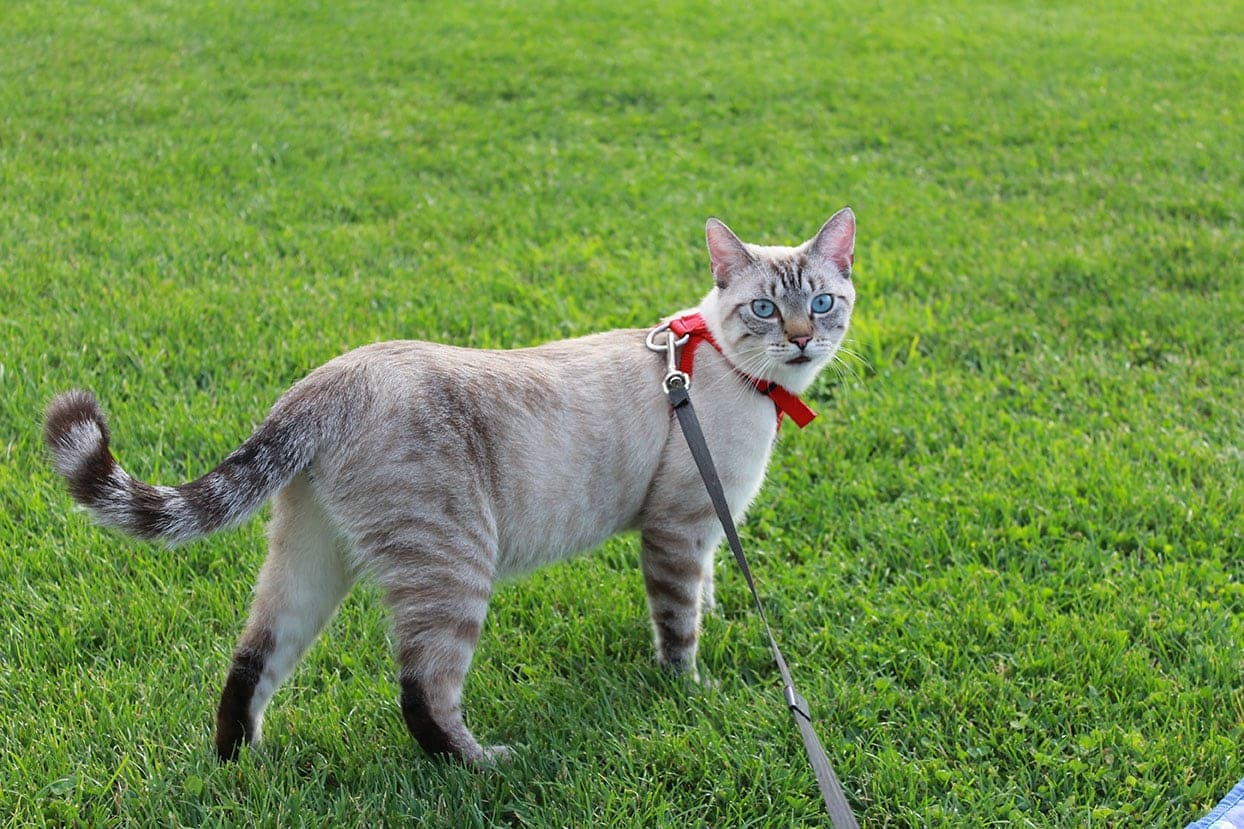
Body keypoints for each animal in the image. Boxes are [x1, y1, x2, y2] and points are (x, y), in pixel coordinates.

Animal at [41, 206, 855, 761]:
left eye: (821, 302)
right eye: (764, 308)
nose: (801, 339)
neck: (736, 375)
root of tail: (326, 382)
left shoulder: (707, 529)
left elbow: (710, 591)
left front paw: (716, 624)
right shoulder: (678, 528)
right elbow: (679, 626)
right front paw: (690, 691)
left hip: (309, 558)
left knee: (251, 659)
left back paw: (243, 763)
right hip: (456, 566)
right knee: (421, 694)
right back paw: (486, 764)